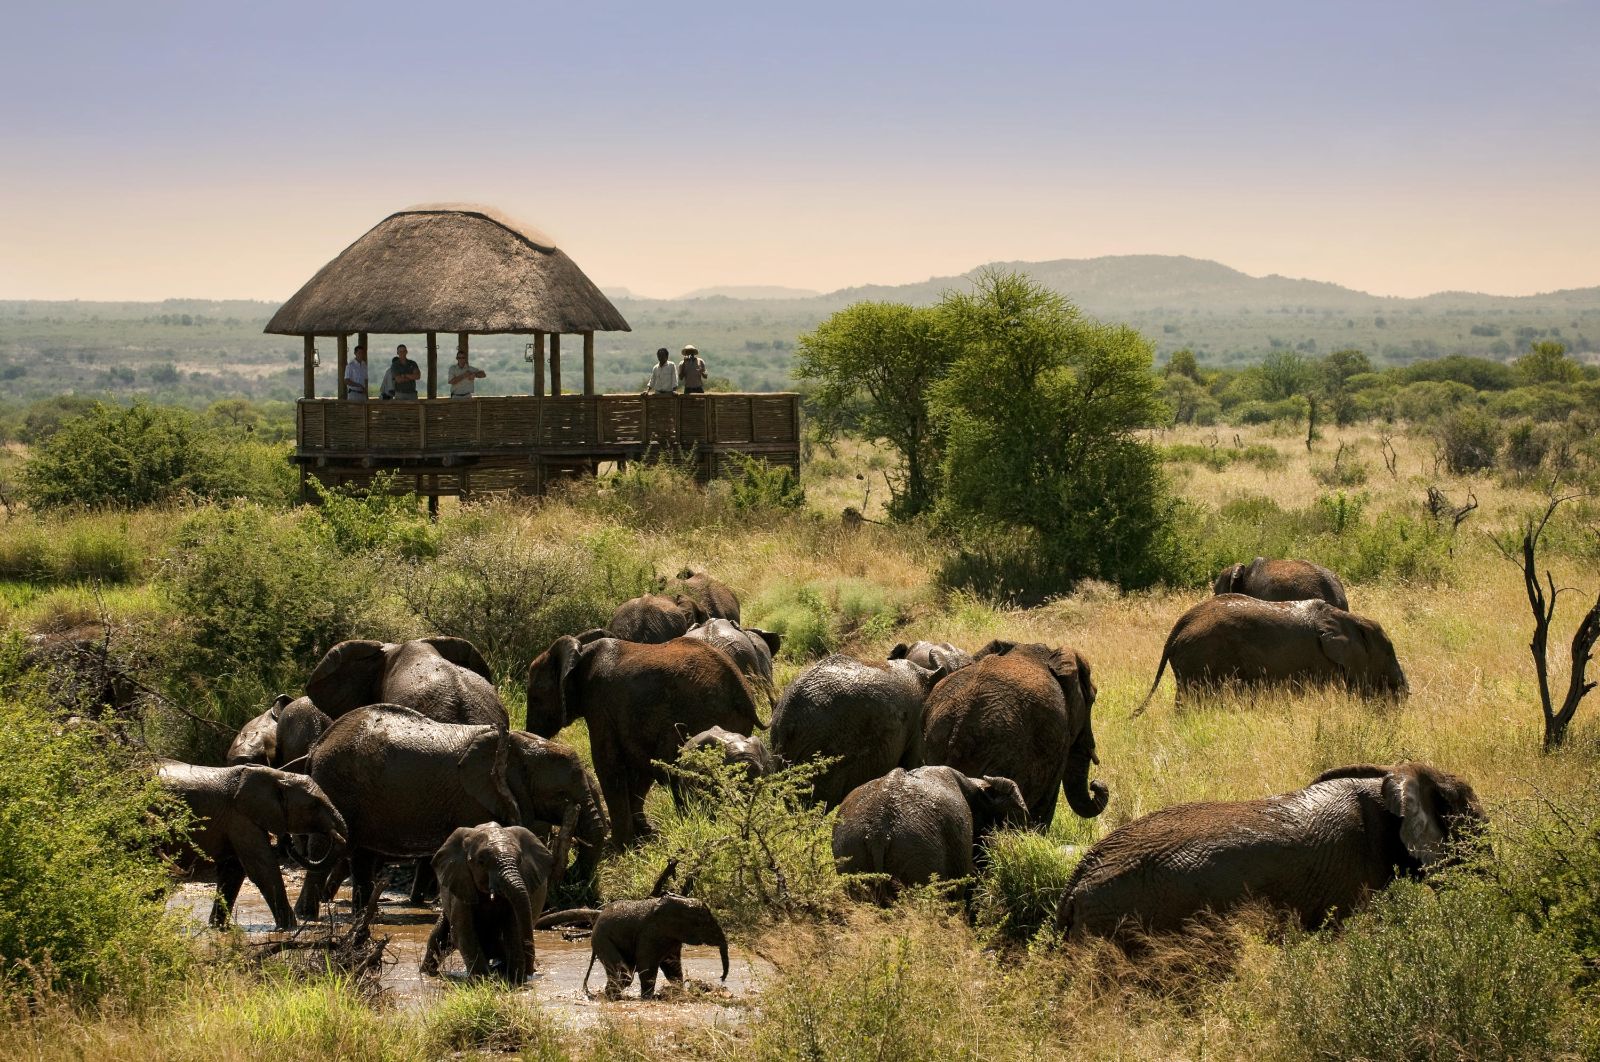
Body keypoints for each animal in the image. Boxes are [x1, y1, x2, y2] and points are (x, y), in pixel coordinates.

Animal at [157, 760, 347, 930]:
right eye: (314, 804)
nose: (289, 845)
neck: (276, 776)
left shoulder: (237, 819)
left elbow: (233, 871)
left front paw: (217, 928)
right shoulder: (240, 816)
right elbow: (263, 868)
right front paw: (289, 928)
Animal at [295, 705, 607, 919]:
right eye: (561, 794)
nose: (572, 880)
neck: (517, 745)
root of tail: (319, 744)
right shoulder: (475, 800)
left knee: (362, 854)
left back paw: (363, 916)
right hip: (335, 782)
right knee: (324, 846)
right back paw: (307, 916)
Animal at [421, 823, 554, 982]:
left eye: (520, 861)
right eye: (481, 862)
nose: (529, 972)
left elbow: (513, 929)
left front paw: (514, 981)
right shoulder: (462, 884)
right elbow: (462, 932)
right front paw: (482, 980)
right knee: (437, 938)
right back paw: (426, 973)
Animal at [526, 634, 759, 848]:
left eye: (535, 698)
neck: (582, 651)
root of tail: (743, 693)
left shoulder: (600, 706)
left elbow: (608, 765)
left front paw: (618, 845)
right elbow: (641, 768)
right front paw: (644, 835)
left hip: (699, 714)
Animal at [582, 893, 730, 1000]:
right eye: (704, 924)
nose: (721, 978)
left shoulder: (671, 937)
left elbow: (673, 967)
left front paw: (679, 993)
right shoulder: (650, 933)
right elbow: (647, 965)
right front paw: (648, 998)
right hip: (603, 940)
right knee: (625, 976)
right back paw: (613, 998)